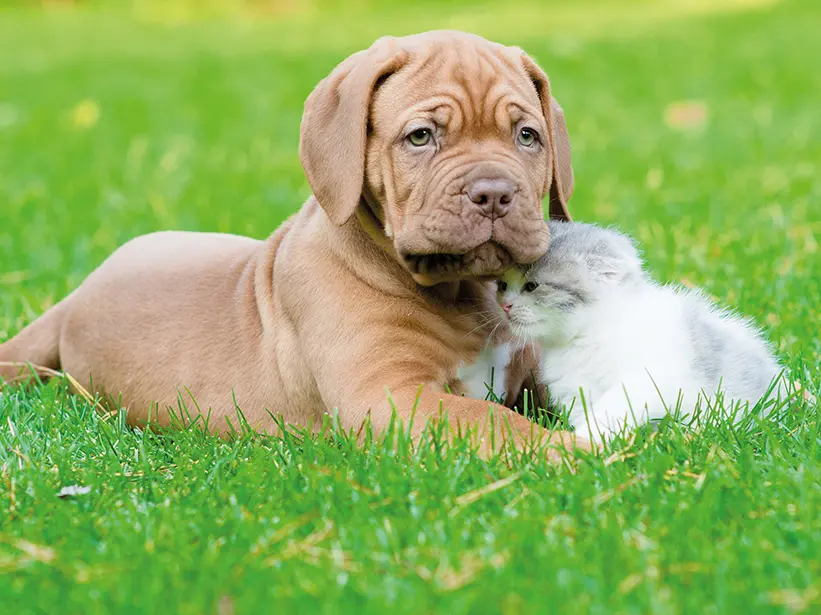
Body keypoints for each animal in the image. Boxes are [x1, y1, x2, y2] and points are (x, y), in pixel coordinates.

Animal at [0, 31, 588, 460]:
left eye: (527, 136)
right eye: (421, 136)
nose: (494, 193)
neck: (464, 291)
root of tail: (74, 299)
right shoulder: (392, 398)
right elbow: (494, 420)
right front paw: (577, 453)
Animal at [464, 221, 784, 442]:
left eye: (532, 286)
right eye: (503, 285)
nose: (505, 305)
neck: (588, 337)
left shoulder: (648, 378)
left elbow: (612, 408)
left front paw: (582, 442)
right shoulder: (575, 389)